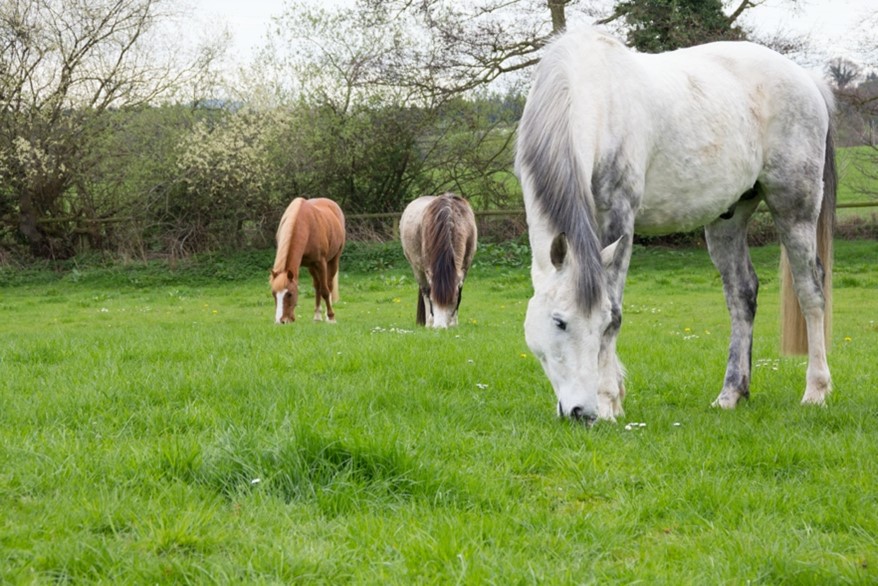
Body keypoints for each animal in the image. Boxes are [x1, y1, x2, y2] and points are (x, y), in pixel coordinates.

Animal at [400, 193, 478, 326]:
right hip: (417, 268)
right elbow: (428, 294)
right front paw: (431, 322)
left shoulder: (465, 268)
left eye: (452, 300)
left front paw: (453, 323)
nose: (439, 327)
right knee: (424, 290)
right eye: (433, 300)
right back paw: (428, 322)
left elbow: (460, 292)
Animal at [520, 27, 836, 422]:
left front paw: (609, 401)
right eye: (559, 322)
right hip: (727, 219)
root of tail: (807, 79)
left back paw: (816, 391)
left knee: (811, 291)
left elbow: (617, 306)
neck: (593, 90)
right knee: (742, 295)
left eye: (601, 323)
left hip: (795, 208)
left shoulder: (619, 214)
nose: (582, 411)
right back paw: (731, 394)